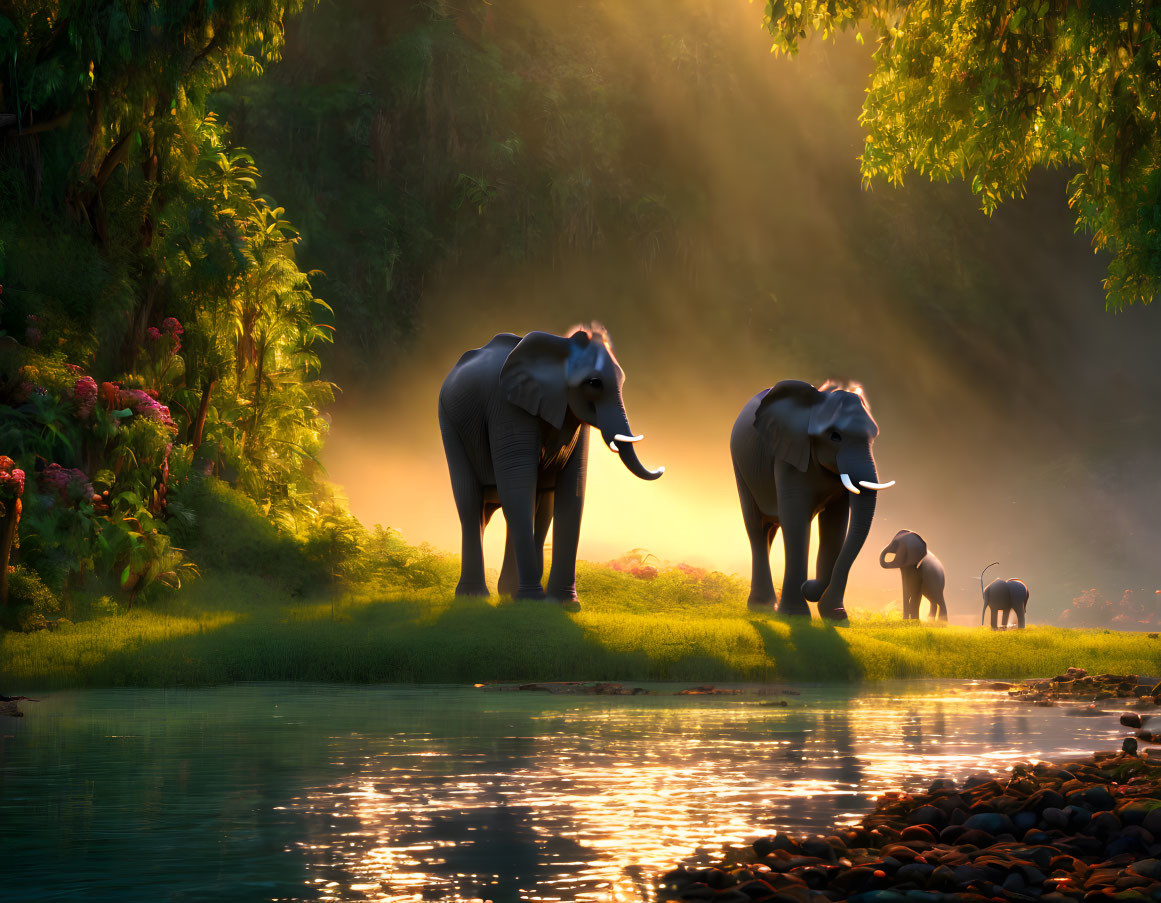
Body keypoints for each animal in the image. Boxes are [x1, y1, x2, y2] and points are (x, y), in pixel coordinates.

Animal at [438, 322, 668, 598]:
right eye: (594, 383)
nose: (662, 468)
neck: (559, 349)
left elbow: (573, 489)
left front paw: (562, 602)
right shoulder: (507, 407)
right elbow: (518, 486)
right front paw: (533, 599)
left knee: (528, 503)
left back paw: (507, 594)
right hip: (448, 422)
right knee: (470, 499)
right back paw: (476, 596)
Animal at [724, 378, 896, 617]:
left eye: (873, 438)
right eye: (835, 436)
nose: (809, 585)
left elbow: (835, 524)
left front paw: (836, 616)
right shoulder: (789, 457)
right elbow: (796, 519)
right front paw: (795, 614)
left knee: (770, 529)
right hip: (740, 467)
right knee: (756, 527)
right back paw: (762, 607)